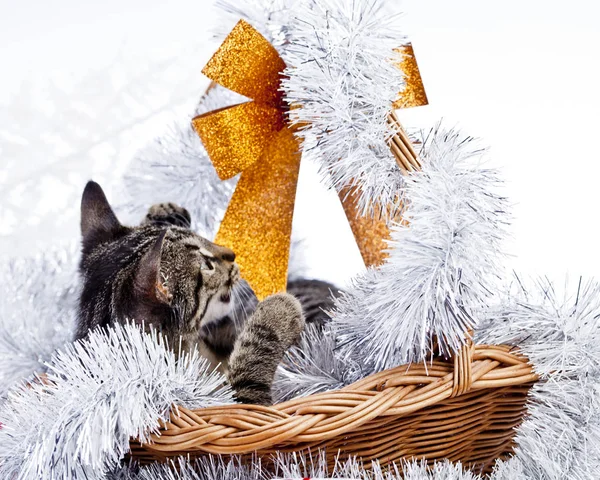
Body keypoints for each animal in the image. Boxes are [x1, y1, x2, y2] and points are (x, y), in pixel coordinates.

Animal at [75, 180, 308, 404]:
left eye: (201, 237)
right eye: (206, 265)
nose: (232, 253)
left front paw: (165, 214)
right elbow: (247, 372)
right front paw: (278, 312)